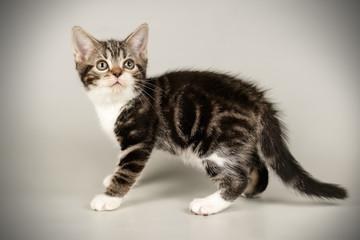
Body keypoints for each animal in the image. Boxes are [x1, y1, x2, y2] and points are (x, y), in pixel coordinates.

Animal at [71, 23, 348, 216]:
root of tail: (257, 97)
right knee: (255, 163)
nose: (118, 73)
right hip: (237, 139)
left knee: (237, 177)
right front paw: (112, 178)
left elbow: (128, 170)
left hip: (212, 144)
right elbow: (126, 166)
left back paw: (210, 204)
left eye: (129, 64)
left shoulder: (139, 139)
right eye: (102, 65)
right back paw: (251, 190)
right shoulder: (137, 142)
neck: (114, 102)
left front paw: (109, 197)